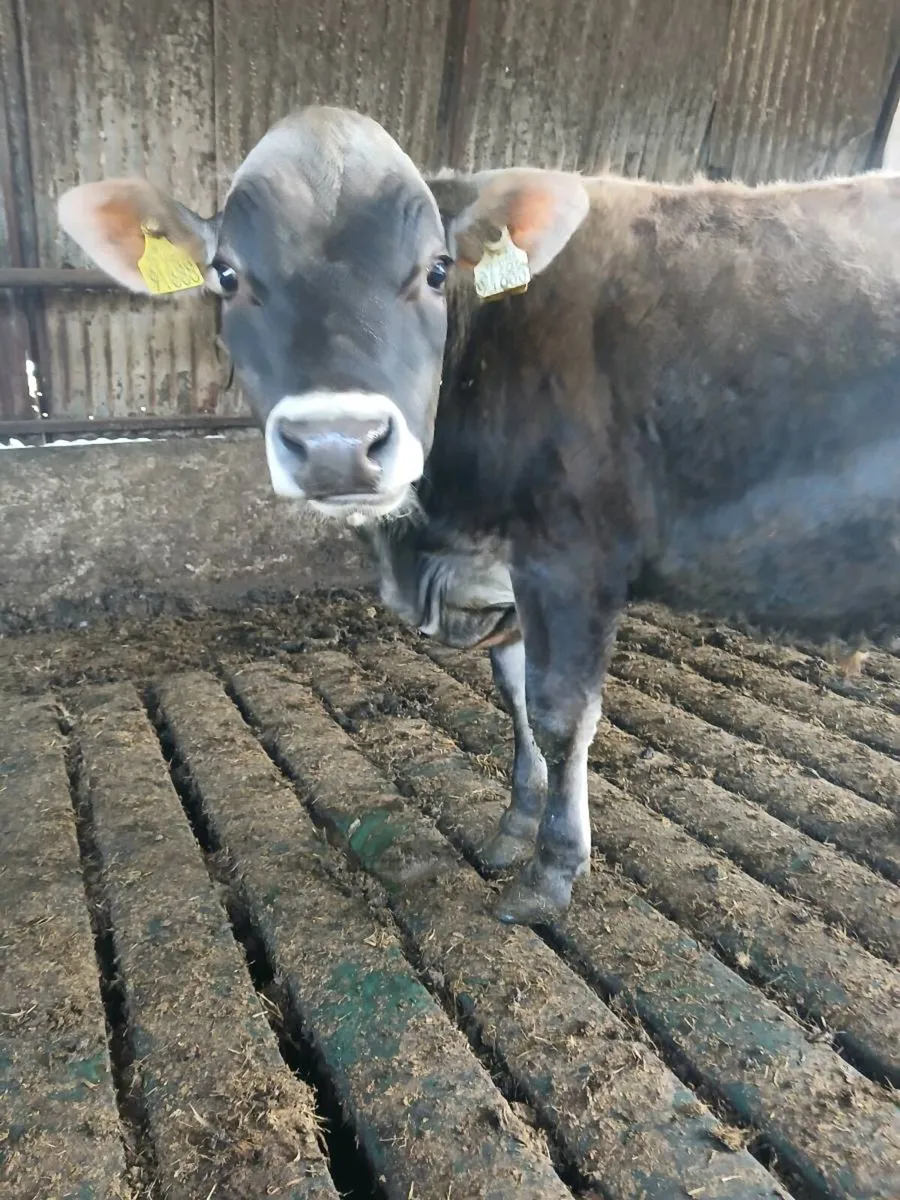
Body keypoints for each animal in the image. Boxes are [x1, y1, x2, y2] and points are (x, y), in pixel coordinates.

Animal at [57, 105, 900, 925]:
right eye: (226, 275)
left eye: (436, 270)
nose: (337, 444)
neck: (430, 547)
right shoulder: (507, 570)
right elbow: (514, 697)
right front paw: (513, 831)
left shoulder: (573, 559)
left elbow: (559, 715)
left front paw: (551, 872)